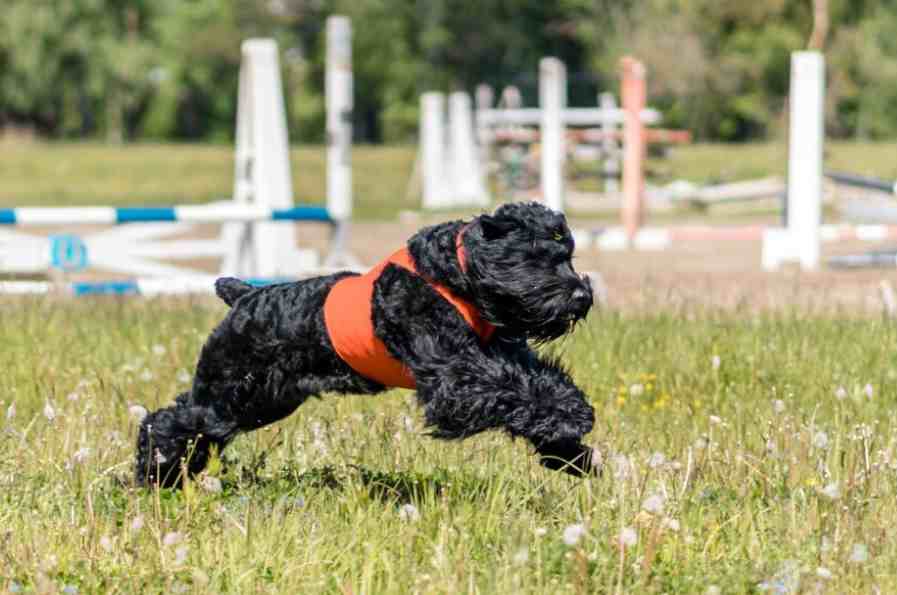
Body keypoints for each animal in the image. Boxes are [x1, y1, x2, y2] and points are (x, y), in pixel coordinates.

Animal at [135, 203, 596, 486]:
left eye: (568, 254)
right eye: (537, 256)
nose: (582, 296)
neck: (453, 276)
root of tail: (244, 297)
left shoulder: (504, 355)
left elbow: (540, 382)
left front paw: (571, 451)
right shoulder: (455, 378)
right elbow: (511, 390)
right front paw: (572, 422)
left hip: (262, 401)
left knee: (189, 420)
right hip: (233, 394)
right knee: (166, 421)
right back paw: (153, 474)